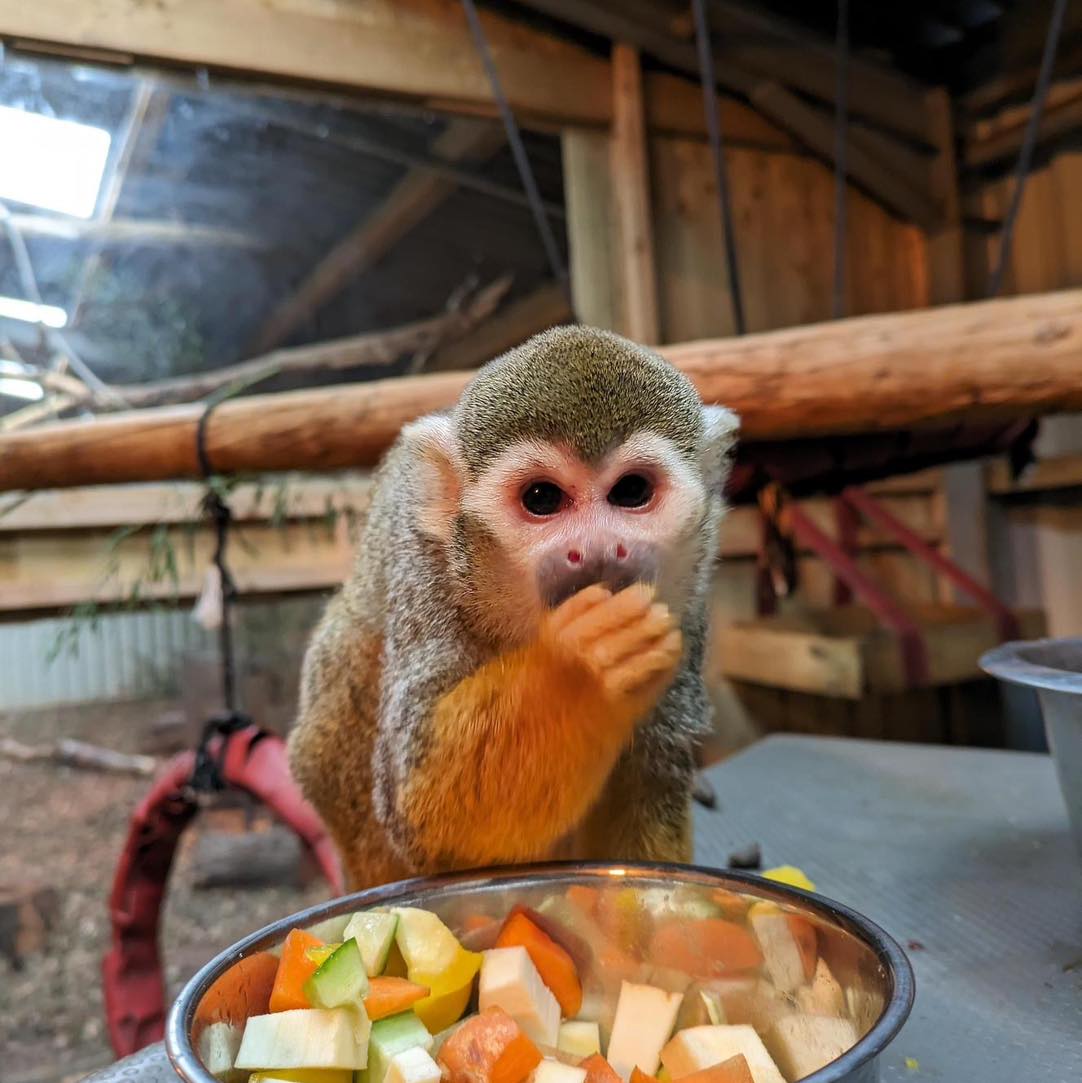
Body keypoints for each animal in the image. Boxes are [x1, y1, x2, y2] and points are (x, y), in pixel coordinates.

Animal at [292, 322, 740, 888]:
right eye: (542, 499)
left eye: (632, 491)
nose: (597, 549)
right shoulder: (429, 570)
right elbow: (421, 808)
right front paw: (582, 667)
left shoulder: (689, 599)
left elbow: (646, 789)